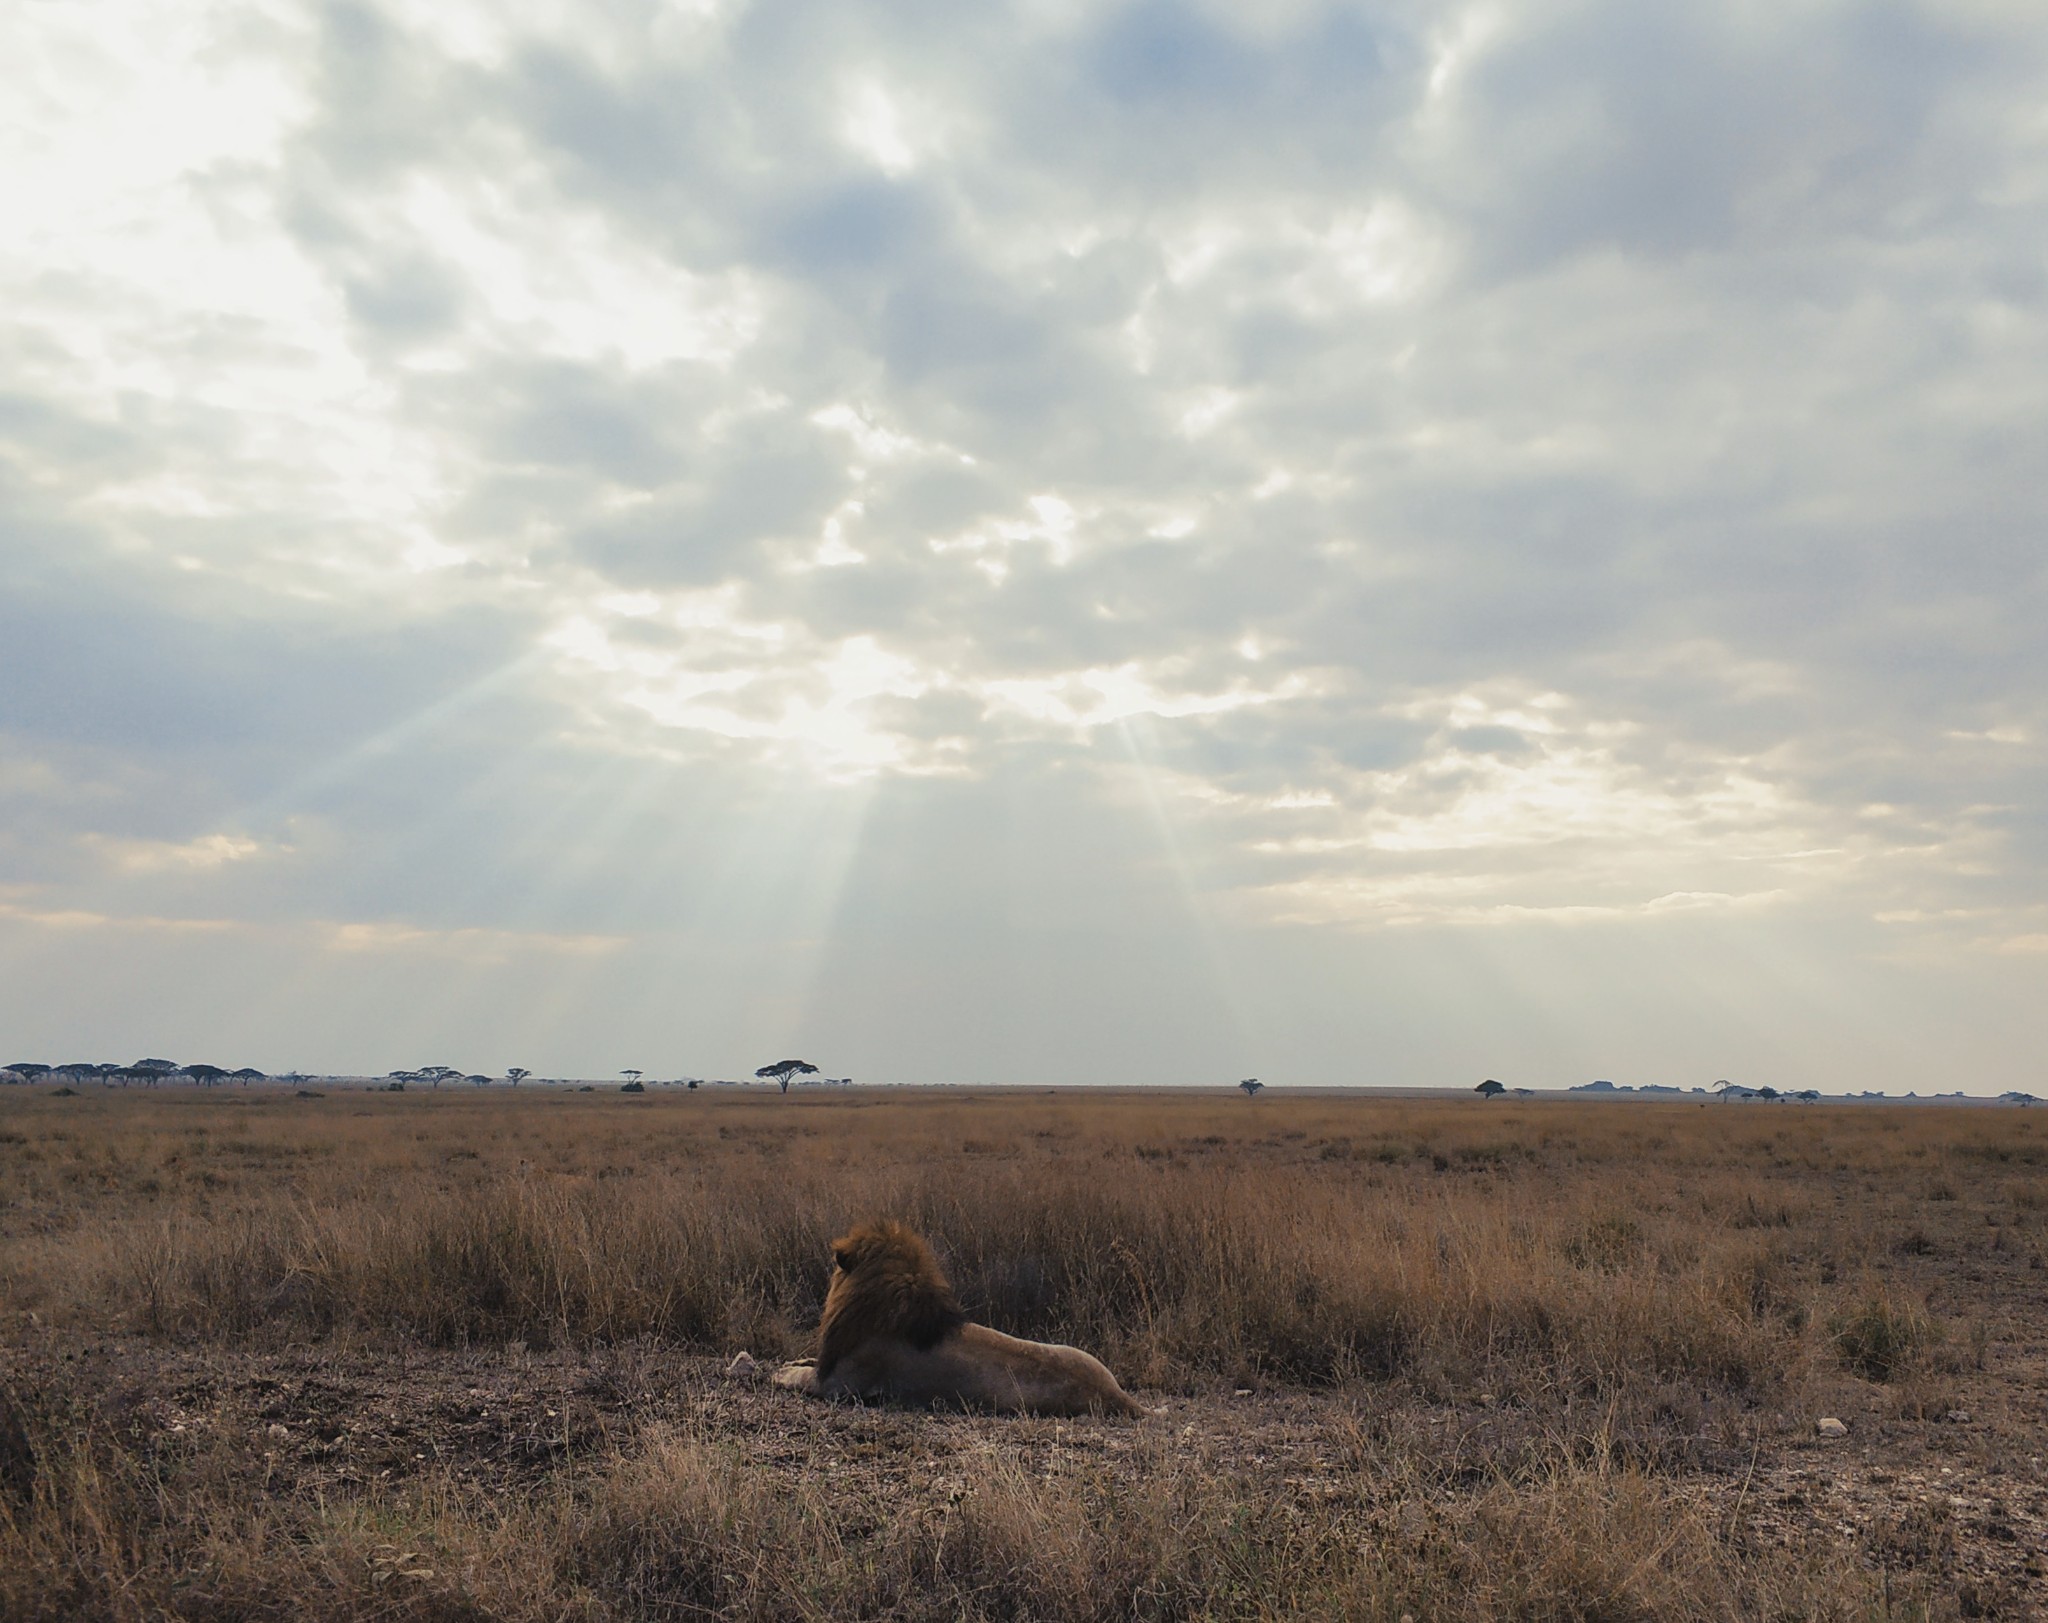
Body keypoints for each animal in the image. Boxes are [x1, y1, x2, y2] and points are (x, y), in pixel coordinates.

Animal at [770, 1213, 1155, 1418]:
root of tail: (1117, 1394)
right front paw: (793, 1360)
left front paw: (780, 1372)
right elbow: (806, 1362)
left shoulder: (839, 1385)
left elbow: (800, 1378)